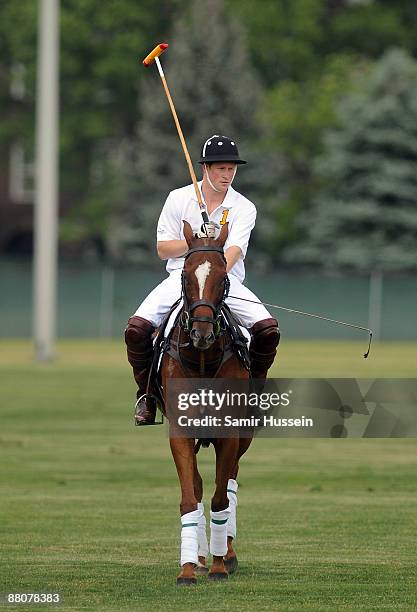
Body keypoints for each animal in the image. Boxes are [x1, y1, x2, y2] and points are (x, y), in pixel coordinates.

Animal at [159, 222, 250, 584]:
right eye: (185, 276)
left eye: (224, 277)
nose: (201, 333)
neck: (201, 360)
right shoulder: (180, 431)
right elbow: (189, 497)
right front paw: (187, 569)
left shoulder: (229, 433)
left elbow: (221, 497)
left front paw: (219, 566)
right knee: (198, 488)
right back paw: (198, 556)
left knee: (231, 484)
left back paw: (228, 554)